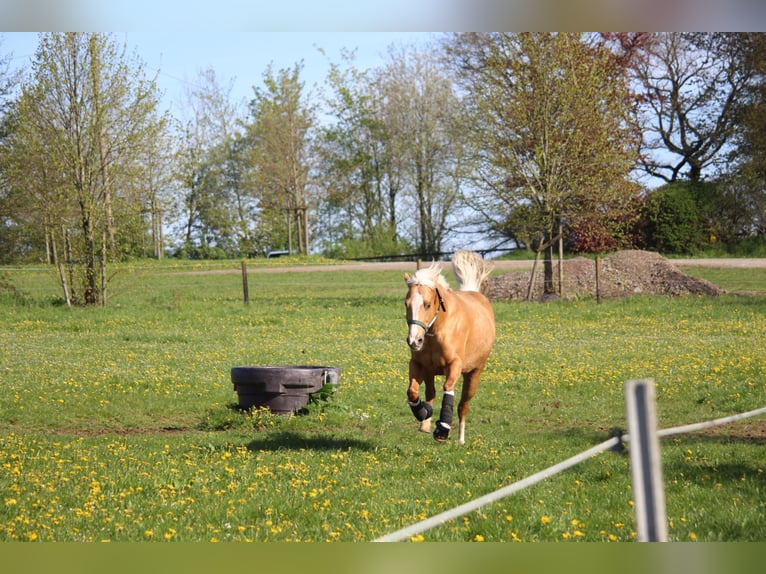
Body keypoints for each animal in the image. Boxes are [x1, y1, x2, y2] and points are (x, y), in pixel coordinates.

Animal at [402, 251, 498, 446]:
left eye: (427, 304)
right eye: (406, 304)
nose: (414, 340)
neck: (437, 328)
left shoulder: (454, 365)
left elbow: (448, 389)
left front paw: (442, 429)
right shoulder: (418, 364)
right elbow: (412, 391)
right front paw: (422, 412)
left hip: (474, 374)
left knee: (462, 406)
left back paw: (460, 438)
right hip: (430, 372)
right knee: (430, 393)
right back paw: (425, 422)